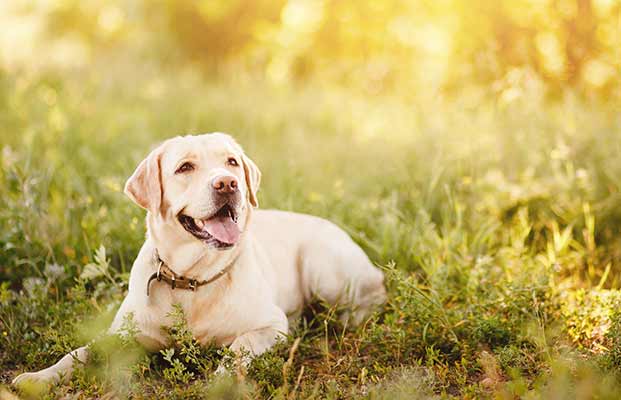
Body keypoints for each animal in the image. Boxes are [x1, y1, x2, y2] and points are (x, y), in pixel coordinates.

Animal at [12, 133, 386, 386]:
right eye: (185, 167)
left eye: (232, 162)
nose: (228, 183)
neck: (190, 279)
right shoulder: (121, 333)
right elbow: (78, 353)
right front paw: (38, 378)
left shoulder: (271, 325)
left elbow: (239, 346)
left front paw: (220, 380)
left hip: (323, 268)